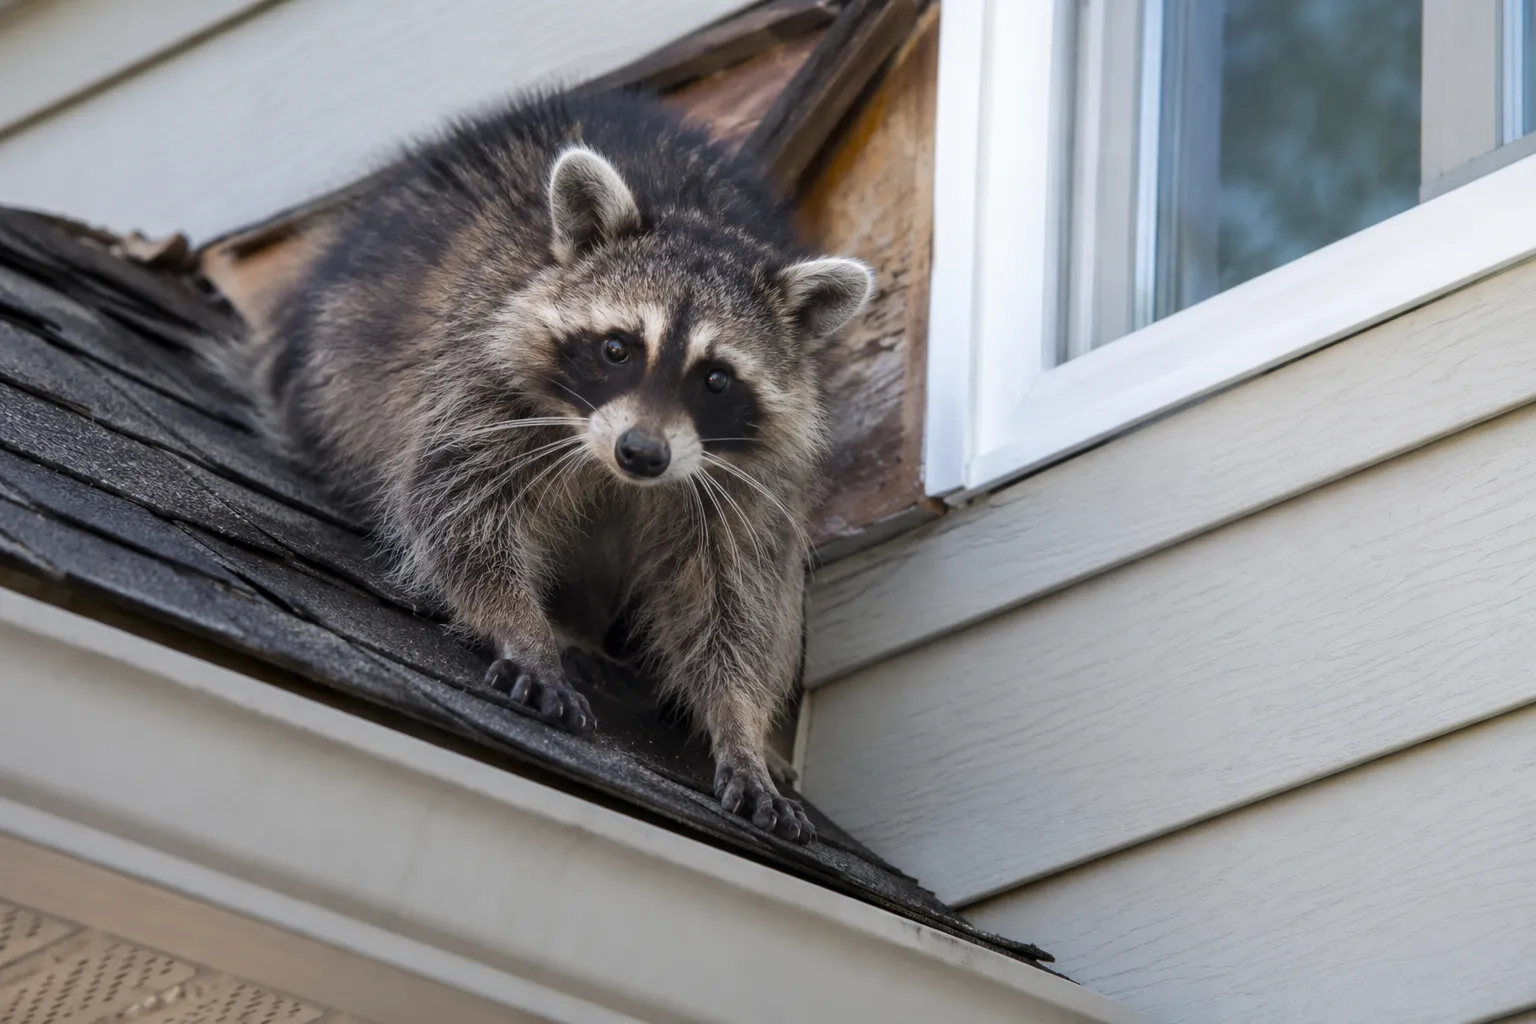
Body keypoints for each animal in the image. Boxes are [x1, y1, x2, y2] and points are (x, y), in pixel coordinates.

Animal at [240, 91, 873, 844]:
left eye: (716, 379)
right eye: (618, 348)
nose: (641, 453)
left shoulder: (751, 482)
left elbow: (735, 601)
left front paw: (741, 728)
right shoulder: (483, 365)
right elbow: (460, 505)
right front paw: (522, 625)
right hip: (339, 361)